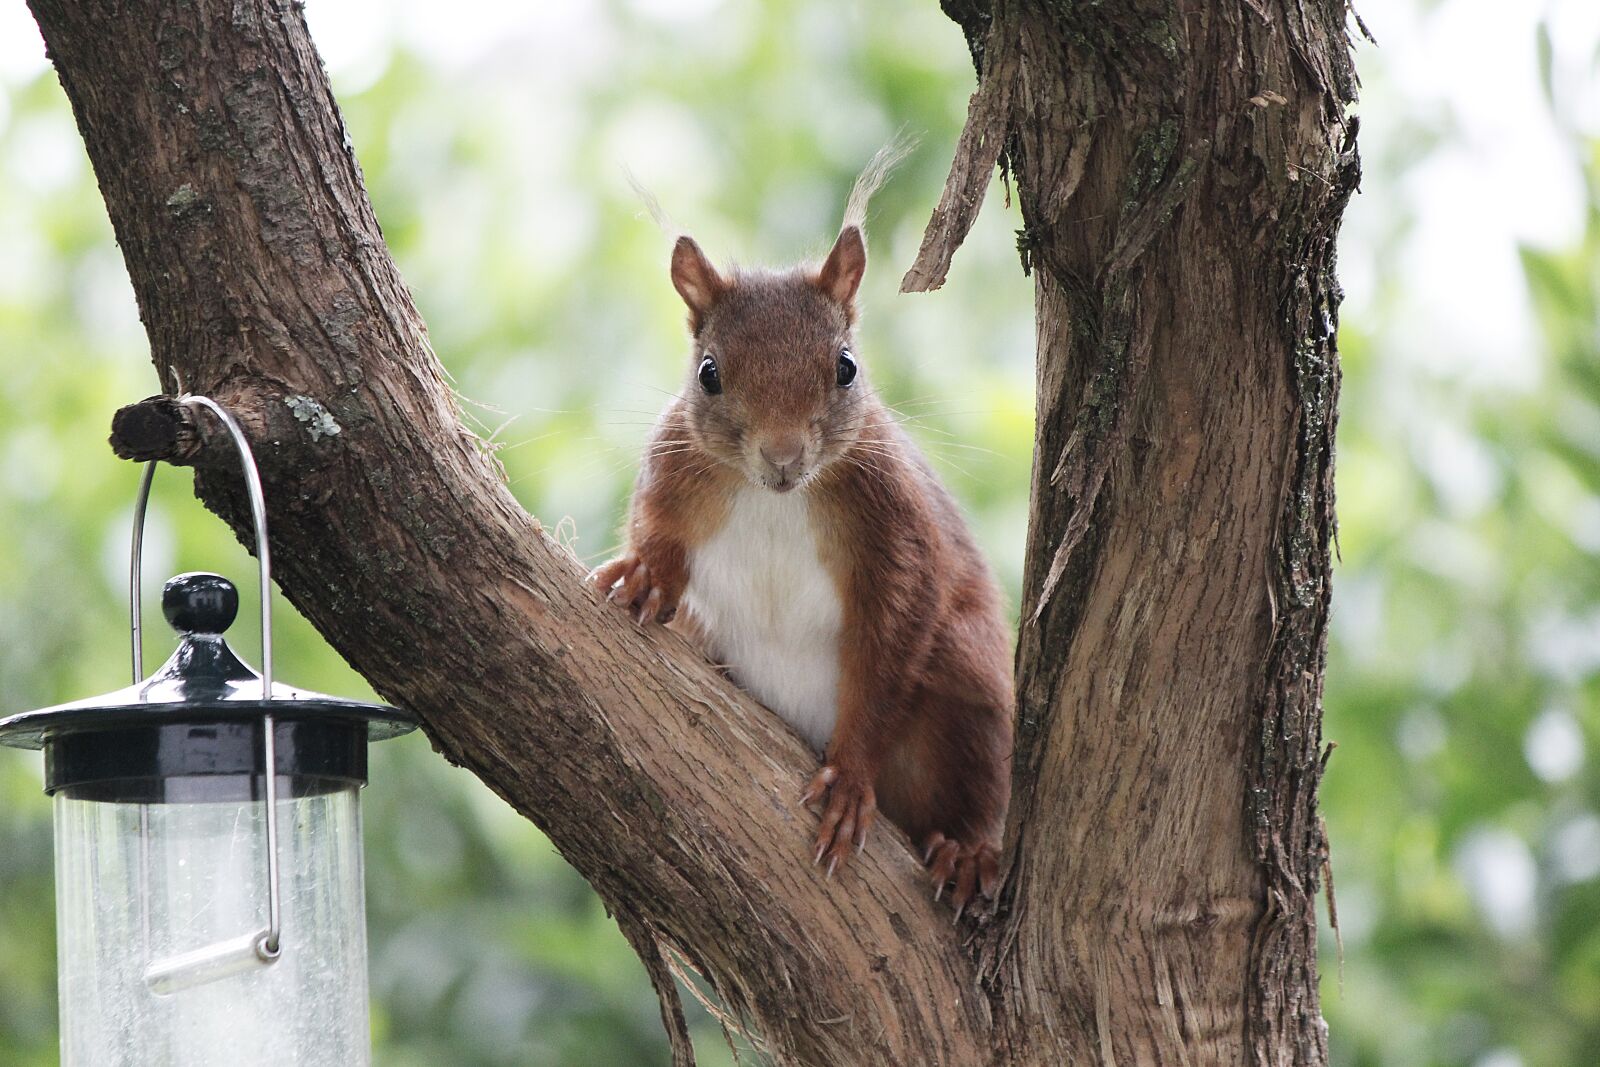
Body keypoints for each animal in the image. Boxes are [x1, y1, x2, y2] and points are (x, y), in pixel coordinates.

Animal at [591, 175, 1014, 913]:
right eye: (708, 373)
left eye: (846, 367)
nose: (783, 456)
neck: (776, 499)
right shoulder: (672, 466)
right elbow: (655, 526)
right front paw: (647, 572)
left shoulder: (897, 530)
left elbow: (890, 644)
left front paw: (847, 779)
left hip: (968, 679)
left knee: (979, 771)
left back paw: (967, 849)